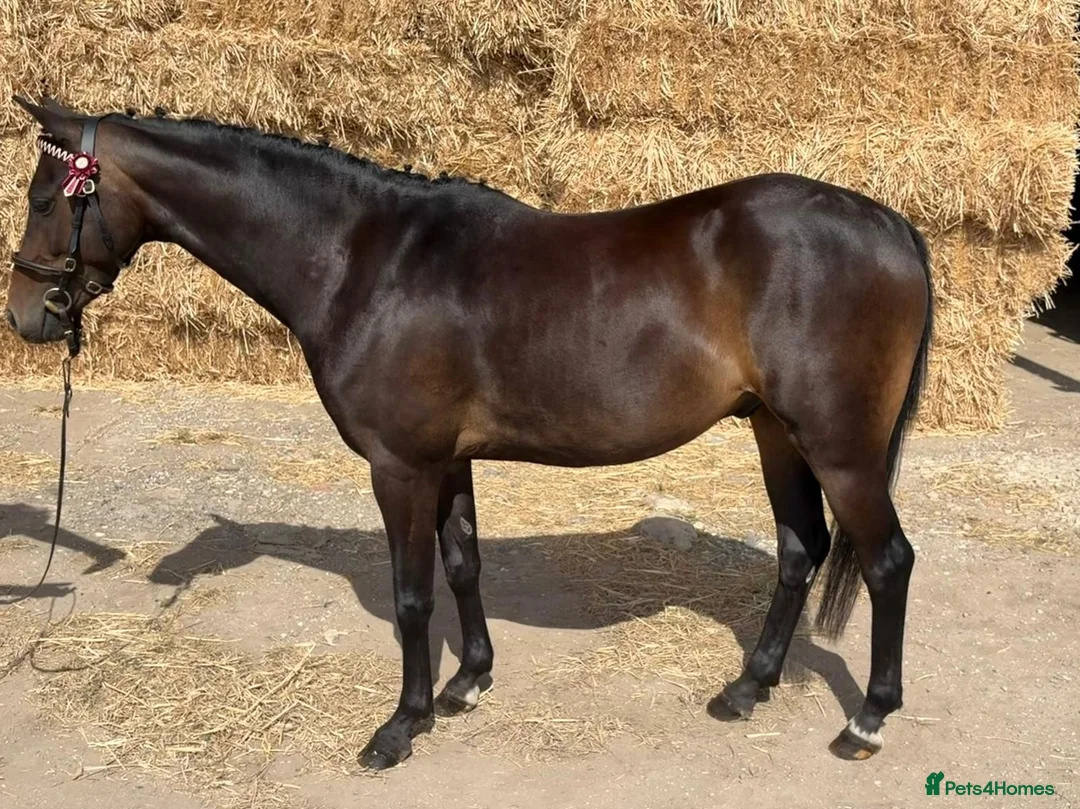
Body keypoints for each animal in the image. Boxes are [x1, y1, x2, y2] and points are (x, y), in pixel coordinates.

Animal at [6, 96, 932, 770]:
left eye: (46, 197)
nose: (25, 316)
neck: (363, 258)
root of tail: (891, 225)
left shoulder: (399, 465)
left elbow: (412, 594)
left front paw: (401, 724)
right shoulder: (446, 461)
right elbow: (462, 565)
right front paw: (468, 682)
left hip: (841, 450)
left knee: (886, 561)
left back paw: (868, 720)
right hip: (777, 433)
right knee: (801, 548)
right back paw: (748, 688)